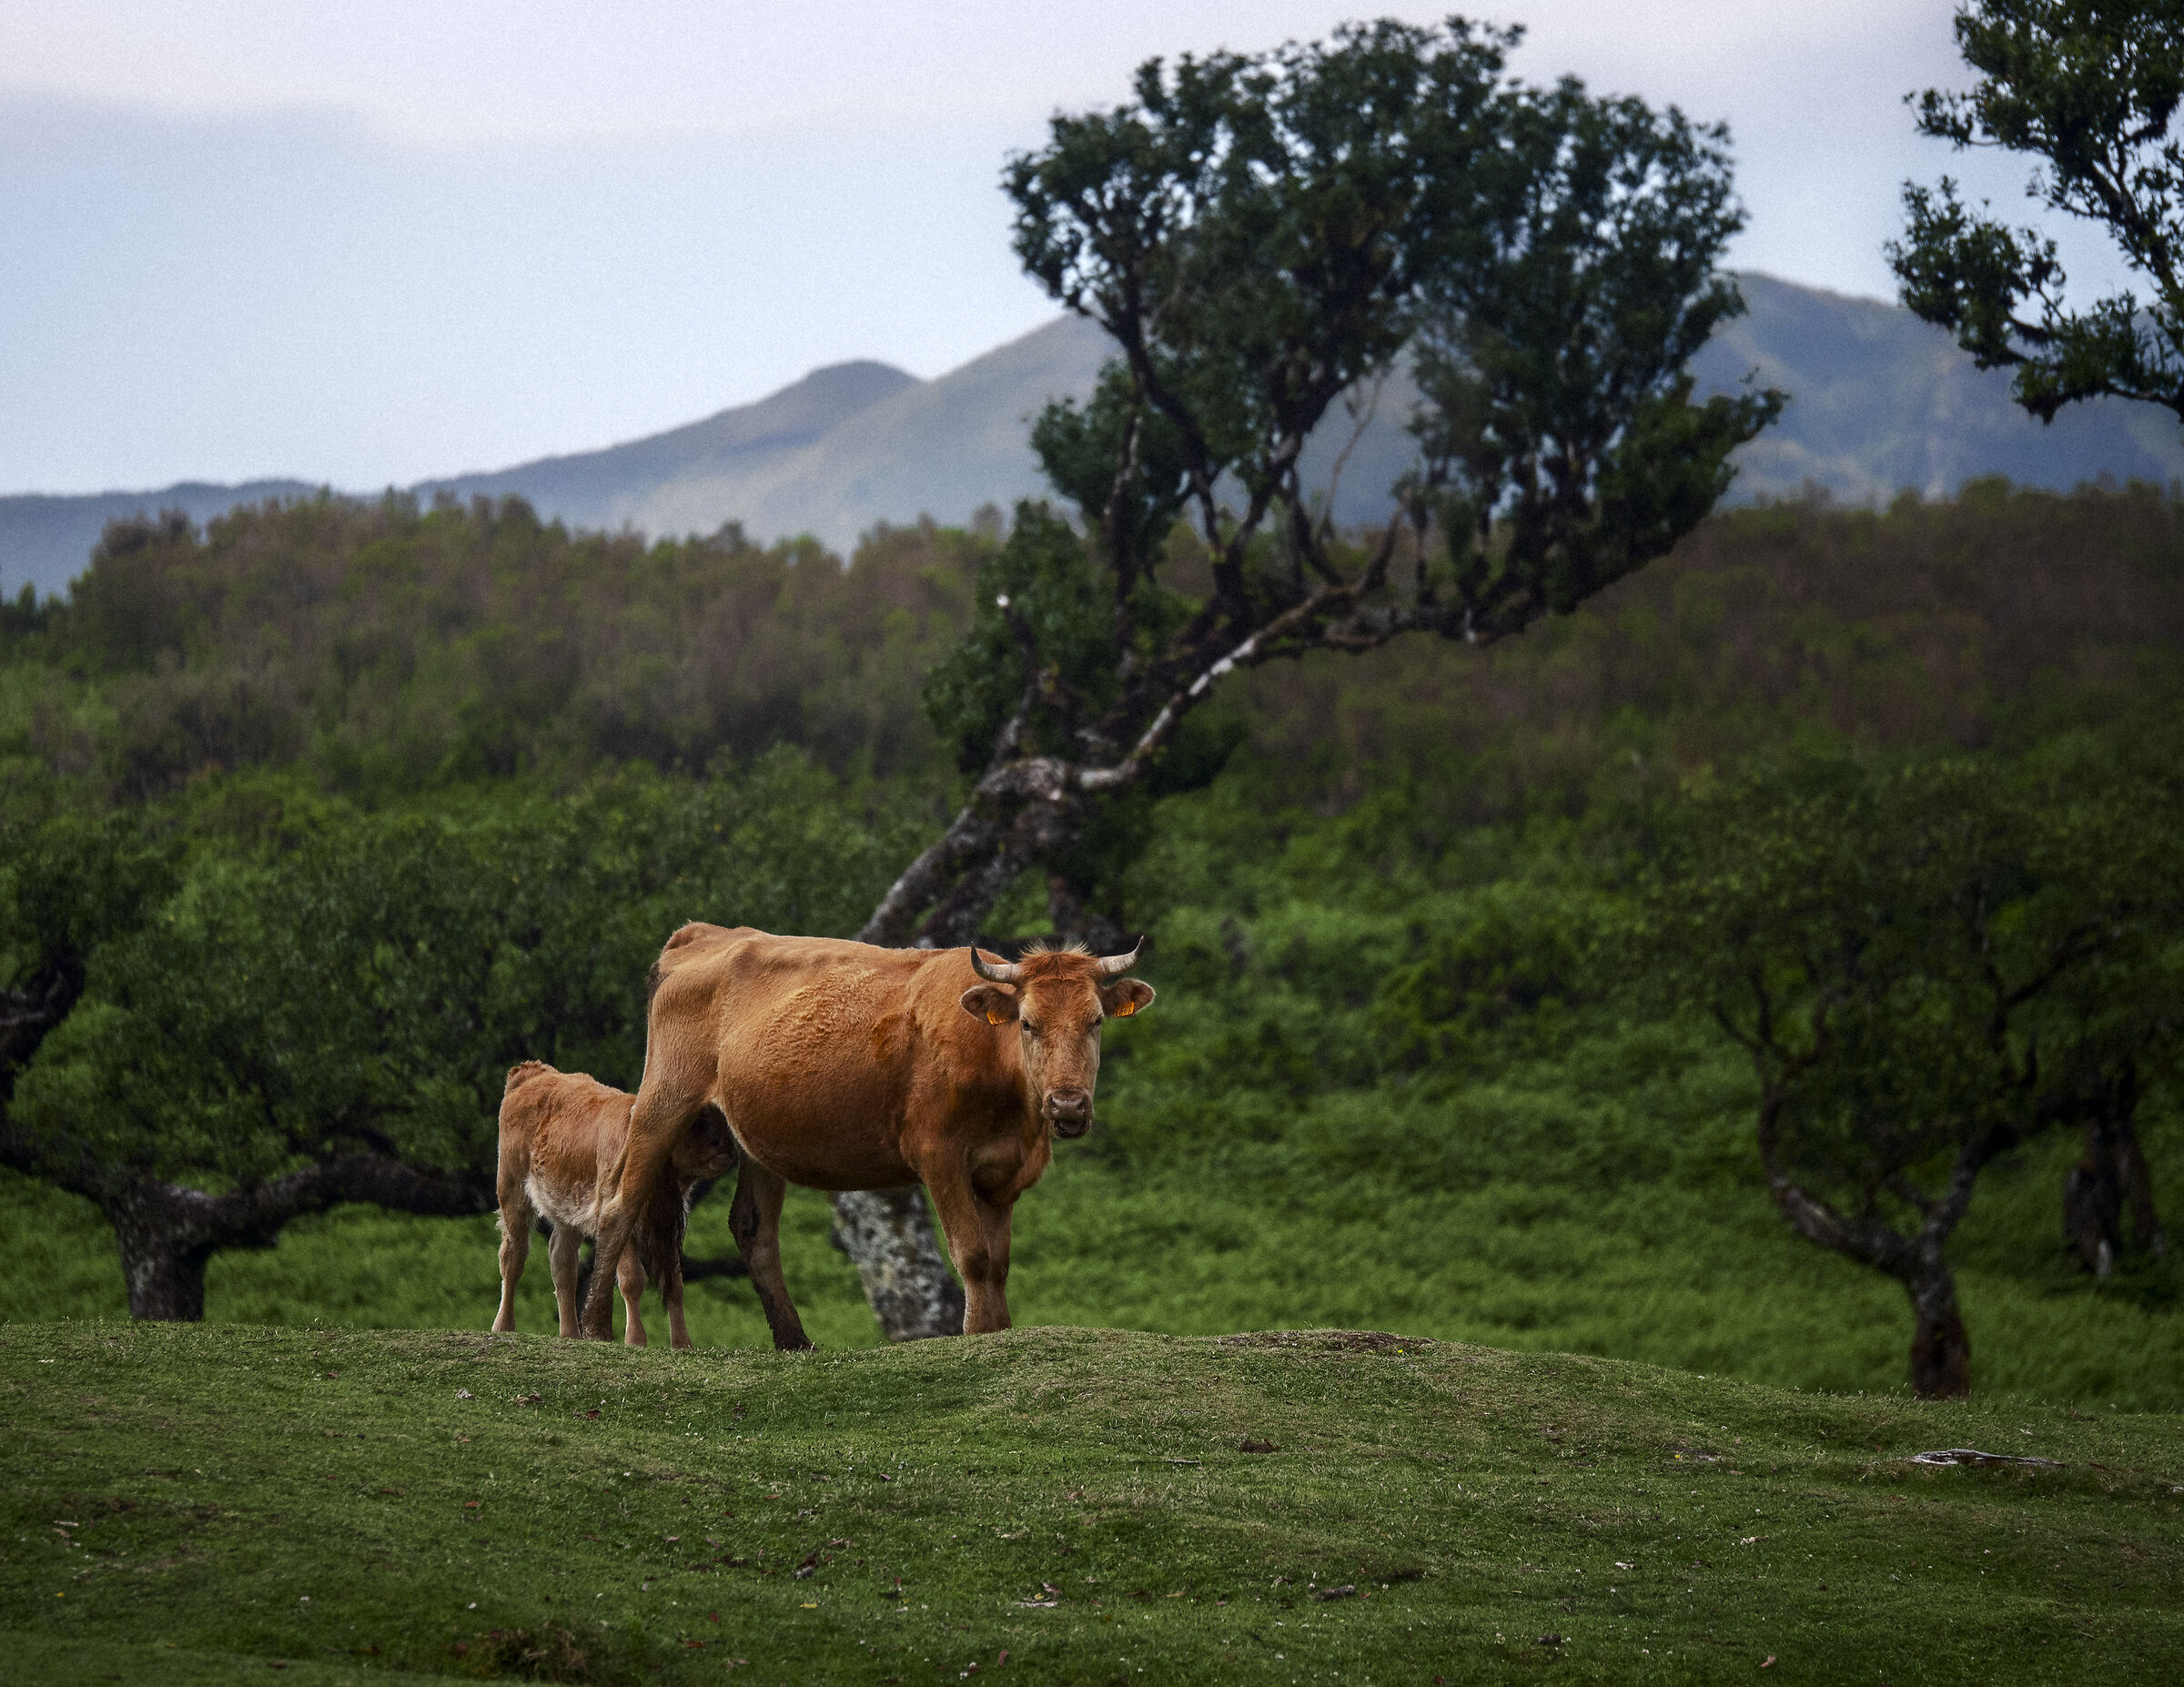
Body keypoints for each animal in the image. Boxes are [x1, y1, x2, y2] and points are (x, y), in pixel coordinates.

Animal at [492, 1060, 738, 1348]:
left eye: (723, 1119)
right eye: (695, 1122)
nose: (725, 1147)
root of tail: (531, 1072)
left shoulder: (668, 1228)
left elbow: (675, 1282)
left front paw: (682, 1343)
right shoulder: (622, 1223)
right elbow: (632, 1279)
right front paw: (635, 1339)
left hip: (568, 1213)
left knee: (563, 1263)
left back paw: (570, 1334)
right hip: (512, 1193)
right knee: (514, 1255)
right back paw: (504, 1326)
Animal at [578, 926, 1154, 1348]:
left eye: (1096, 1021)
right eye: (1028, 1024)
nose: (1068, 1105)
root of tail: (702, 935)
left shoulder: (1004, 1174)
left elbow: (999, 1264)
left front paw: (999, 1333)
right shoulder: (939, 1156)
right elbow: (973, 1255)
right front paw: (974, 1338)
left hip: (754, 1140)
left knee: (753, 1228)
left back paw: (795, 1341)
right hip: (664, 1100)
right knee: (620, 1205)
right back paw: (596, 1327)